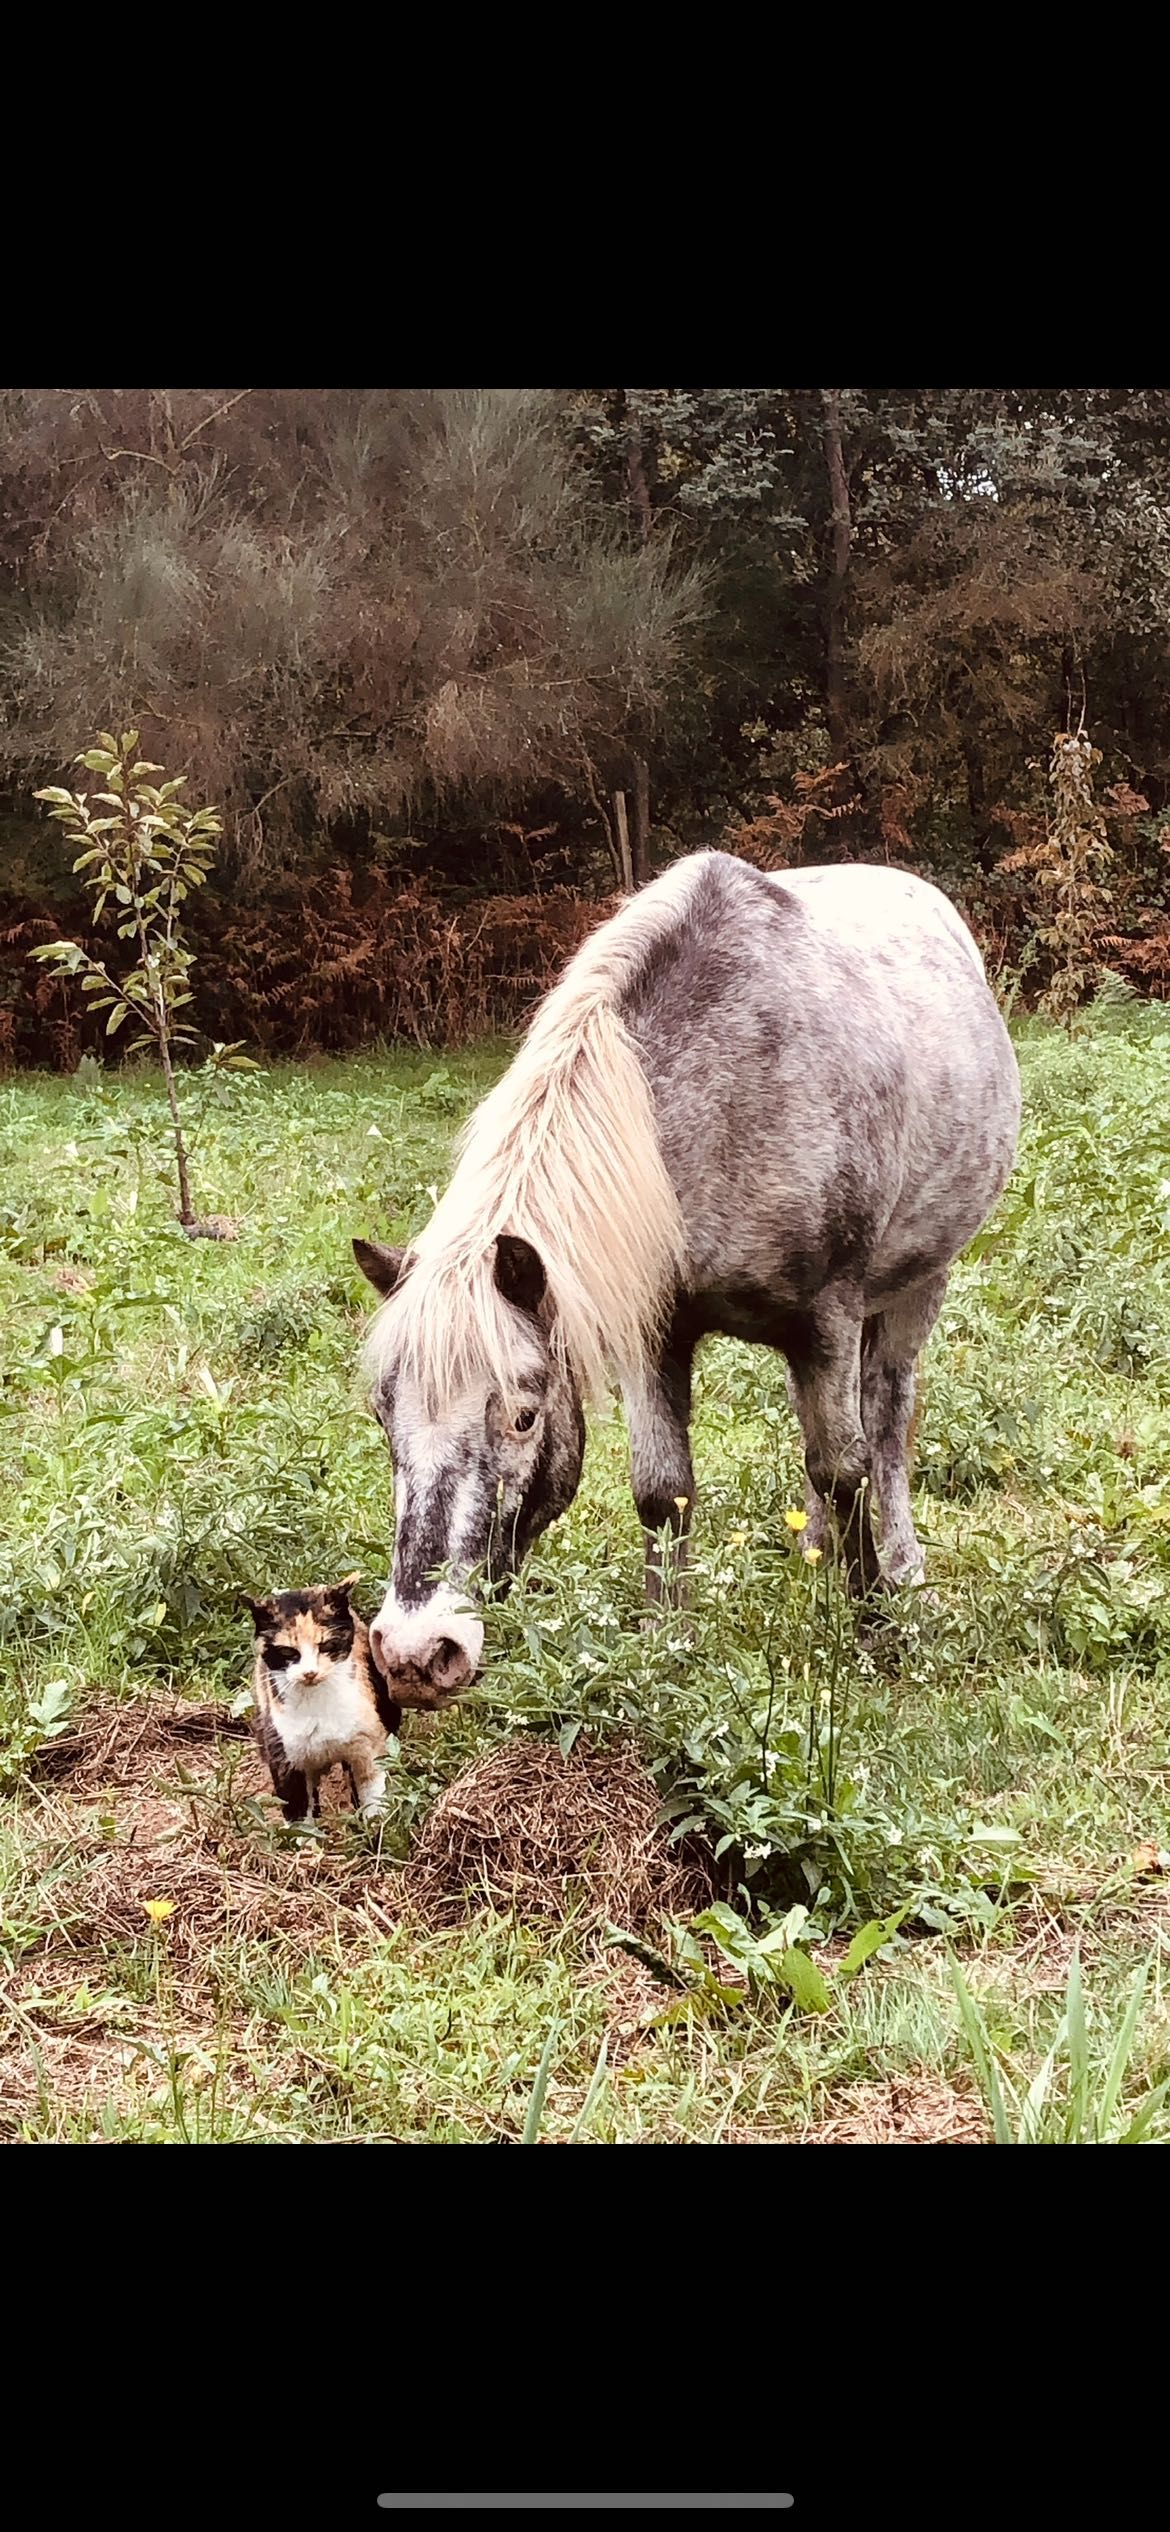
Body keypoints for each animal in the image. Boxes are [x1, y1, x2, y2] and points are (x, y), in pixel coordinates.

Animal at [243, 1579, 402, 1823]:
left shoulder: (368, 1747)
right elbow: (300, 1821)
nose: (310, 1673)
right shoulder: (286, 1762)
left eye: (326, 1645)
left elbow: (375, 1800)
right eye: (288, 1652)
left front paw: (376, 1829)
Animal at [352, 850, 1018, 1701]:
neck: (723, 1098)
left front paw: (872, 1626)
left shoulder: (831, 1316)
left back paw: (899, 1570)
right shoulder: (653, 1333)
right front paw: (668, 1643)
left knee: (886, 1427)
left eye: (524, 1417)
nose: (413, 1651)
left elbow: (847, 1466)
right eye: (382, 1414)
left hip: (914, 1290)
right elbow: (662, 1490)